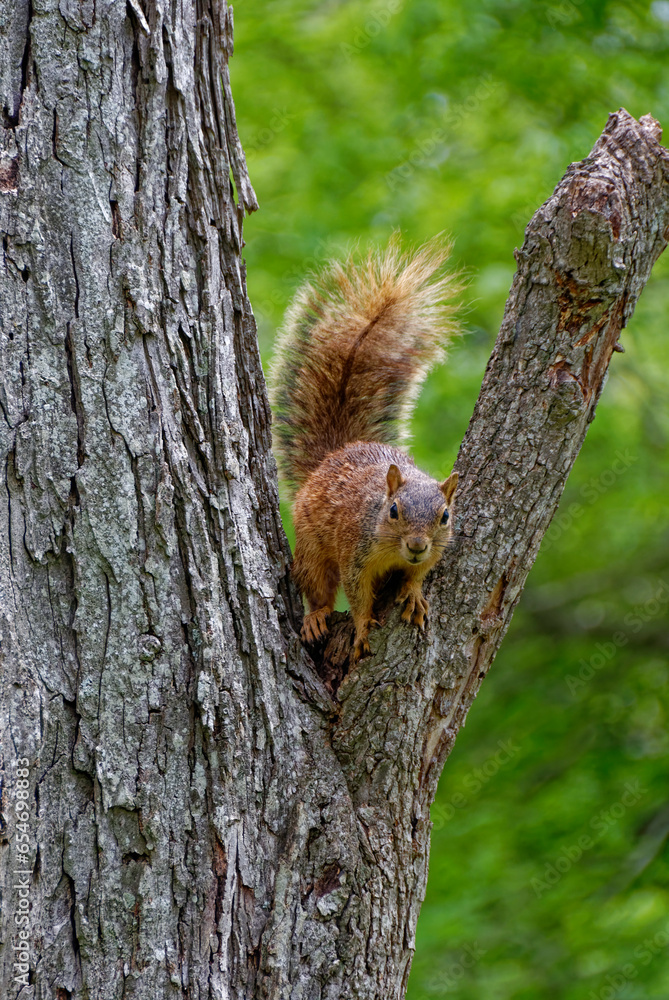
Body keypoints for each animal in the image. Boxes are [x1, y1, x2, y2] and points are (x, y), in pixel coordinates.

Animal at [269, 238, 461, 661]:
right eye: (393, 511)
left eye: (444, 516)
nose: (417, 545)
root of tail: (332, 457)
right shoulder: (354, 554)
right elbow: (356, 596)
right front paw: (359, 628)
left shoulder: (434, 553)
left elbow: (419, 575)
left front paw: (413, 593)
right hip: (311, 545)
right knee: (317, 584)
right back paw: (316, 616)